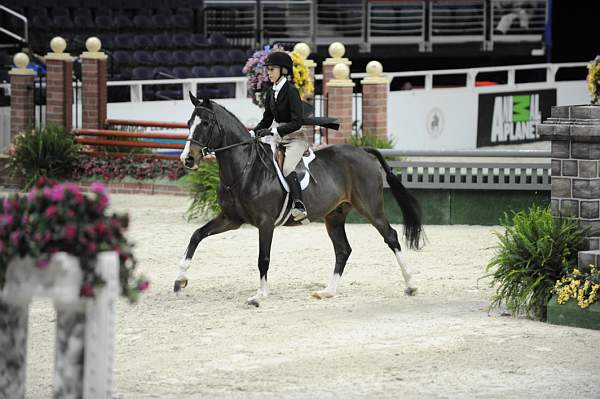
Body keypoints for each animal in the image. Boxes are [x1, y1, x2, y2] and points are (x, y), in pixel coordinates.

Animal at [176, 95, 424, 308]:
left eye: (206, 123)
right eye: (189, 122)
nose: (187, 159)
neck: (245, 169)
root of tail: (363, 151)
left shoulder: (265, 223)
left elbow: (263, 258)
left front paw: (259, 295)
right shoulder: (231, 219)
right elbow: (196, 236)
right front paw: (180, 280)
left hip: (370, 208)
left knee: (390, 236)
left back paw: (411, 284)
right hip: (334, 216)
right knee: (343, 250)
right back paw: (327, 292)